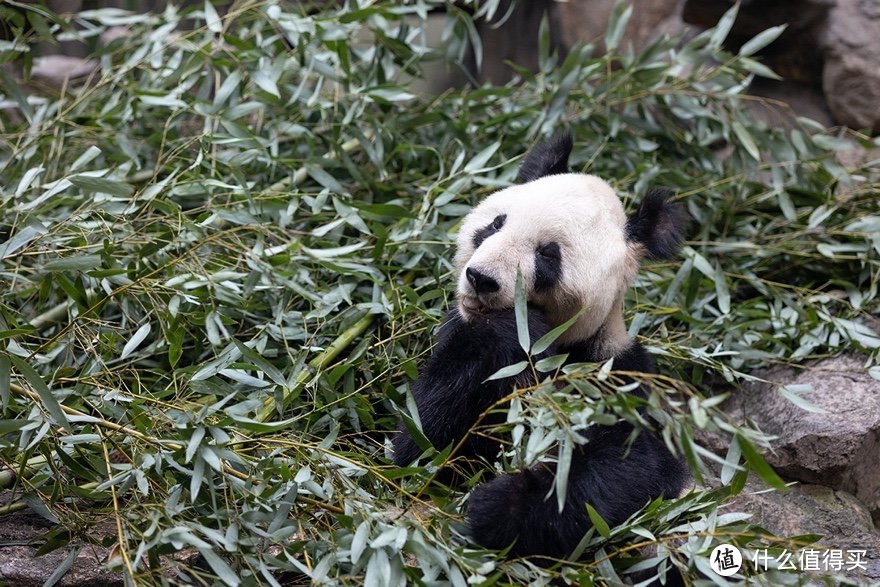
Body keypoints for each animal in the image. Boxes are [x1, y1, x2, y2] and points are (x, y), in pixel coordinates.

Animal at [396, 136, 692, 564]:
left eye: (548, 255)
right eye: (495, 224)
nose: (481, 278)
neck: (557, 346)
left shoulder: (617, 379)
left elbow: (630, 467)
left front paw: (499, 507)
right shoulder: (460, 340)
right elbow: (422, 441)